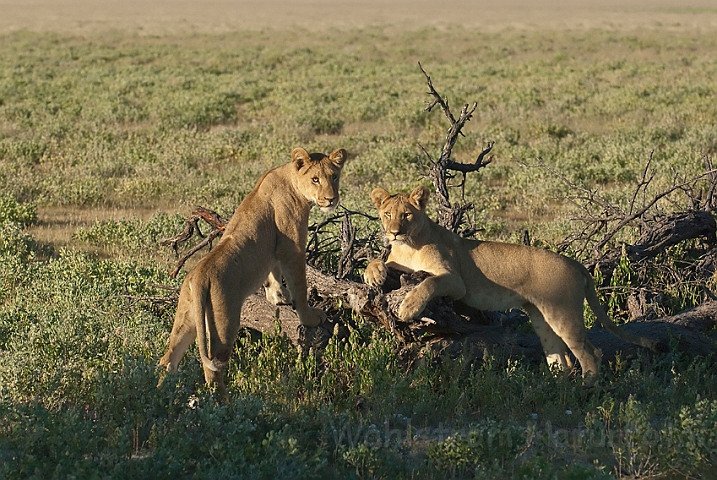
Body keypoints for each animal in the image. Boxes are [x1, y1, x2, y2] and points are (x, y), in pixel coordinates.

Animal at [161, 146, 346, 398]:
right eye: (316, 179)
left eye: (334, 176)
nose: (331, 199)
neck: (291, 179)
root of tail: (198, 277)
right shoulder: (292, 247)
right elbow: (299, 285)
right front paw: (309, 317)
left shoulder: (273, 249)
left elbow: (273, 274)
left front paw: (277, 297)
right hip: (224, 322)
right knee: (213, 368)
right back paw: (225, 402)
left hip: (187, 317)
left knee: (169, 358)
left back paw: (160, 394)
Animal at [364, 186, 660, 384]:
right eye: (387, 213)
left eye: (407, 215)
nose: (394, 232)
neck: (409, 246)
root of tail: (577, 264)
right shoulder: (400, 261)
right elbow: (380, 261)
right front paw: (373, 274)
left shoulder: (455, 281)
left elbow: (429, 282)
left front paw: (407, 308)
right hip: (541, 317)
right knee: (559, 358)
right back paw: (553, 387)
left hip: (563, 313)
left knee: (590, 353)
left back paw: (585, 388)